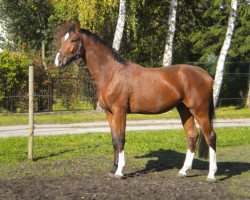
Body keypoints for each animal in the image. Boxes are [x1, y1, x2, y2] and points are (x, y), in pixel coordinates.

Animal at [54, 19, 217, 182]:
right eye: (62, 39)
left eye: (73, 40)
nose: (58, 62)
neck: (111, 73)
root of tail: (206, 75)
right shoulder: (109, 113)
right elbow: (114, 140)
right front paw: (113, 168)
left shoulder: (120, 111)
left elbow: (121, 139)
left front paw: (120, 171)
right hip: (185, 110)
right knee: (192, 136)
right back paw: (183, 171)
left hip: (200, 111)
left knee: (210, 136)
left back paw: (211, 175)